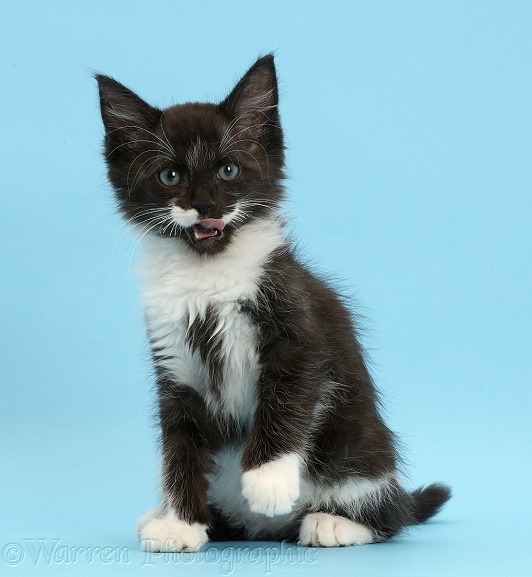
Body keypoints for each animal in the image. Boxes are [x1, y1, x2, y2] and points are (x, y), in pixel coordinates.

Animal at [95, 56, 448, 552]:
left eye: (227, 171)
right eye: (170, 176)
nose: (205, 205)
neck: (207, 274)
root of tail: (267, 530)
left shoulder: (298, 330)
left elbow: (286, 403)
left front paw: (268, 480)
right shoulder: (173, 361)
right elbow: (179, 443)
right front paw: (180, 524)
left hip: (360, 446)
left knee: (390, 514)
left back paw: (332, 522)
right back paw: (180, 516)